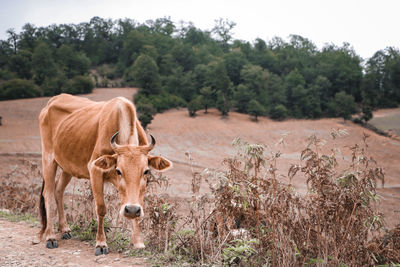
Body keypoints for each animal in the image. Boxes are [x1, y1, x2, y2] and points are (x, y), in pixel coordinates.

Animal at [38, 93, 173, 255]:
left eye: (146, 171)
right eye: (118, 170)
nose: (131, 210)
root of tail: (51, 102)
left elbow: (136, 202)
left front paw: (138, 242)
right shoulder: (94, 170)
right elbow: (101, 208)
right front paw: (101, 244)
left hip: (67, 166)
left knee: (58, 190)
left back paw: (64, 229)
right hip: (48, 159)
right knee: (48, 194)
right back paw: (50, 236)